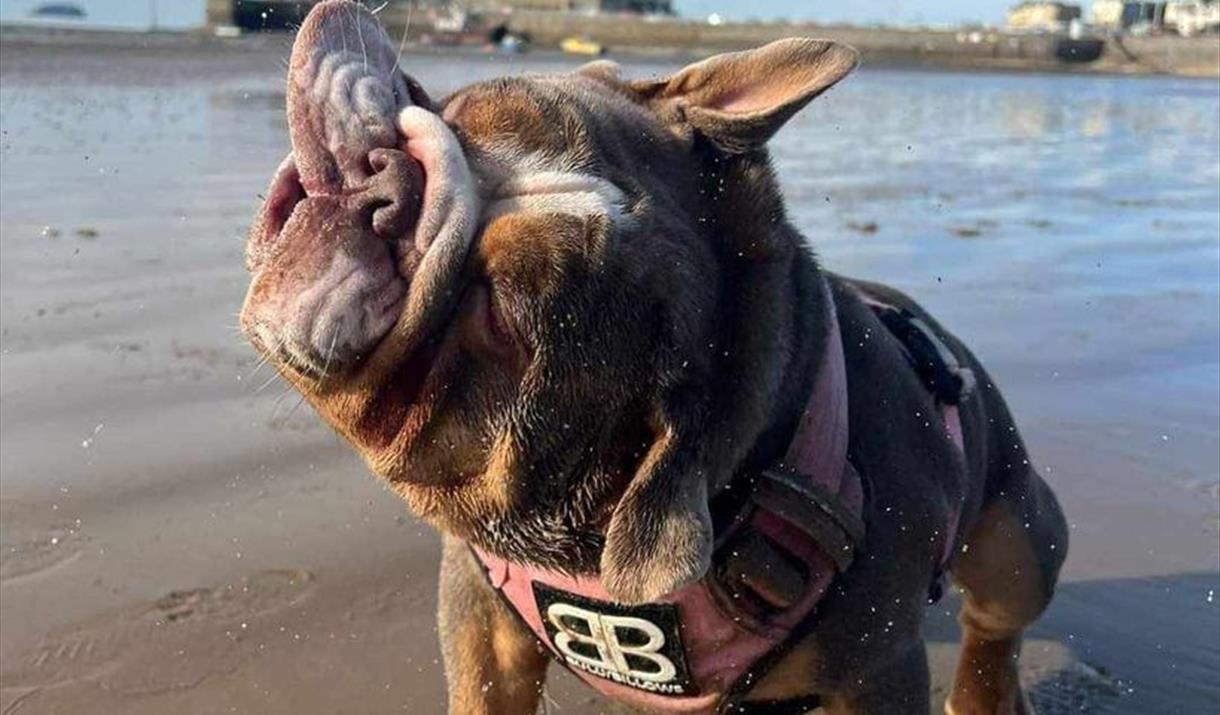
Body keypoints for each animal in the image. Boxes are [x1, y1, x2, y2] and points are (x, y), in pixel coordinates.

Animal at [240, 2, 1068, 707]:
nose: (393, 183)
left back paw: (984, 694)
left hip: (1020, 537)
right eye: (474, 109)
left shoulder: (875, 668)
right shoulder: (479, 611)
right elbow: (482, 686)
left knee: (999, 611)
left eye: (498, 313)